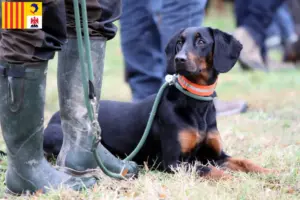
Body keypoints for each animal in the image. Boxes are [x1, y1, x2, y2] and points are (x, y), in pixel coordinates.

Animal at [45, 27, 274, 180]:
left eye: (201, 42)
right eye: (179, 42)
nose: (179, 59)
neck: (195, 103)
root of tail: (54, 116)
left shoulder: (216, 155)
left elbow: (244, 161)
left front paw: (270, 173)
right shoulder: (174, 162)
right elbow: (210, 170)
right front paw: (233, 179)